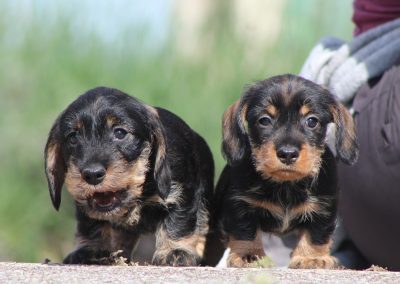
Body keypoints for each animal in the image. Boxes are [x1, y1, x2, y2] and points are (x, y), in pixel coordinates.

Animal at [45, 86, 214, 266]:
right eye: (73, 137)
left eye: (120, 132)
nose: (92, 174)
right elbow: (91, 226)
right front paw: (90, 250)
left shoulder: (181, 193)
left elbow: (178, 222)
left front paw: (175, 251)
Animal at [217, 74, 358, 268]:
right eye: (264, 120)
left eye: (312, 121)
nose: (288, 154)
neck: (285, 185)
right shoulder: (241, 206)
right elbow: (245, 232)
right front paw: (250, 256)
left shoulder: (323, 209)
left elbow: (315, 234)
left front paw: (310, 257)